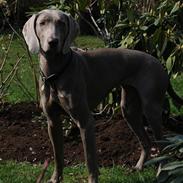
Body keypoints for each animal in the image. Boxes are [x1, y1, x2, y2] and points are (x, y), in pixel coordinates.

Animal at [22, 8, 180, 183]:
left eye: (61, 23)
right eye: (42, 23)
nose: (53, 42)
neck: (56, 74)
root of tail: (160, 63)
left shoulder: (86, 122)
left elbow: (90, 160)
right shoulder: (52, 122)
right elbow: (57, 155)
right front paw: (55, 179)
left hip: (151, 109)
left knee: (162, 145)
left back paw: (161, 173)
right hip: (129, 109)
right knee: (146, 141)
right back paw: (138, 167)